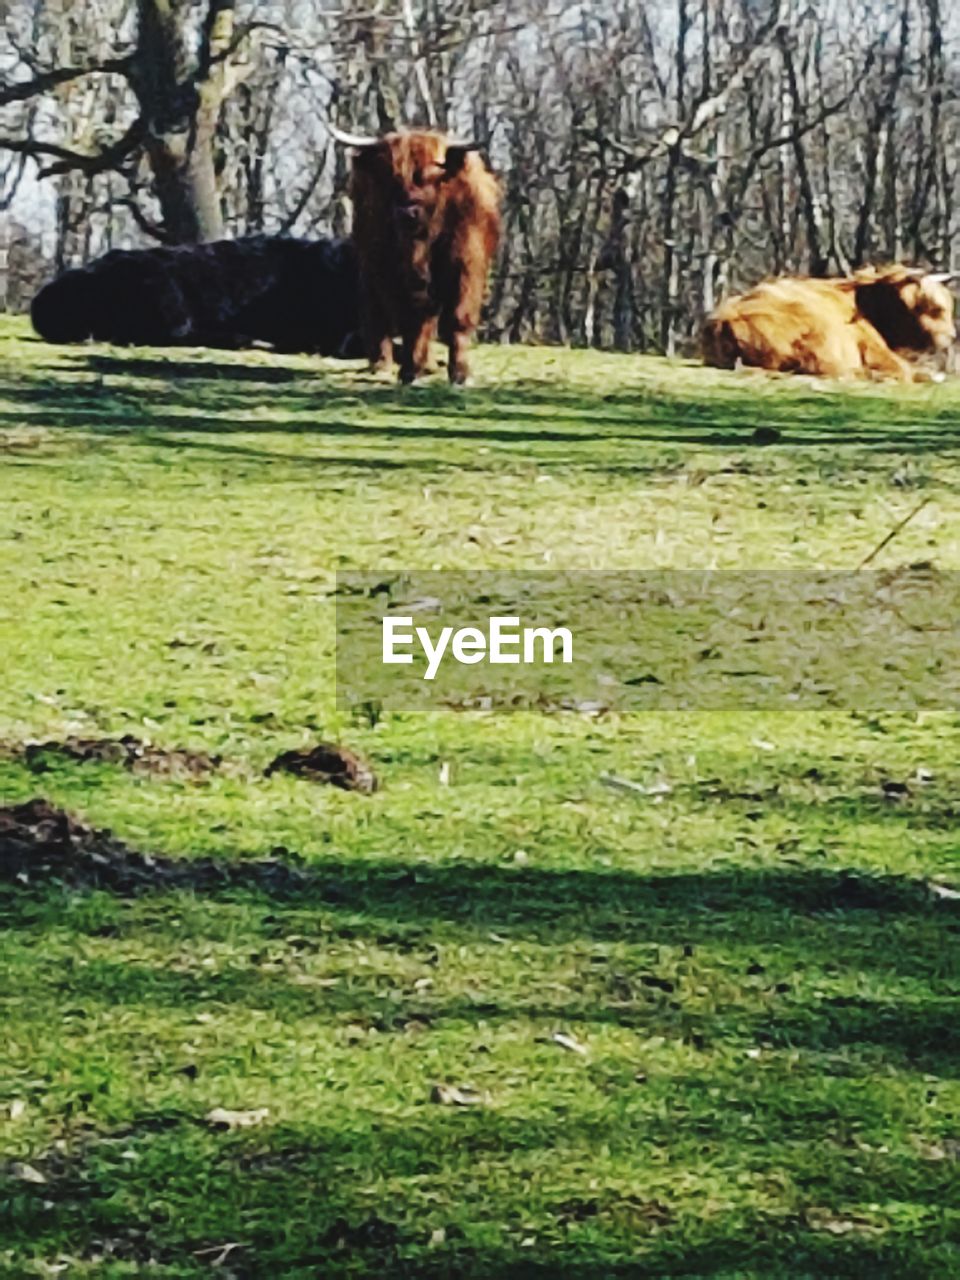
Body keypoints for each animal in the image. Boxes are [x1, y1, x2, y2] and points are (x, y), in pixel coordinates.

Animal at [335, 124, 504, 384]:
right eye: (391, 178)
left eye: (430, 176)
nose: (407, 212)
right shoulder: (393, 272)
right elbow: (411, 320)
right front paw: (410, 370)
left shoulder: (466, 265)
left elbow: (457, 317)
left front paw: (460, 373)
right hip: (369, 268)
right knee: (379, 316)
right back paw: (386, 364)